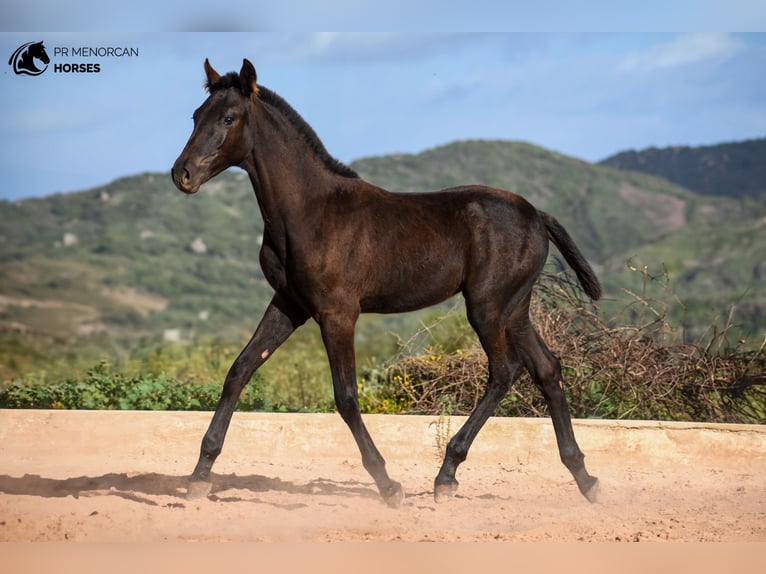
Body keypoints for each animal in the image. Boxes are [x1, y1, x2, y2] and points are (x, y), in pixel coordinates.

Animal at [171, 58, 604, 508]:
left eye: (228, 117)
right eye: (195, 116)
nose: (182, 174)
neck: (309, 212)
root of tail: (537, 215)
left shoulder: (338, 313)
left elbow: (345, 397)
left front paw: (387, 483)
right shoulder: (289, 304)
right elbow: (239, 371)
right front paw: (199, 475)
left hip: (487, 307)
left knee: (504, 372)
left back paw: (447, 475)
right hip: (515, 308)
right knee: (547, 369)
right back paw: (584, 477)